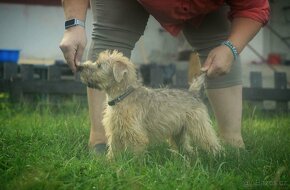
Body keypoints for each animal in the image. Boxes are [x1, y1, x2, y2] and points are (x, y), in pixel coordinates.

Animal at [78, 49, 221, 158]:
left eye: (99, 65)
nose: (80, 66)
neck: (123, 97)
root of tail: (193, 92)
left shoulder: (137, 136)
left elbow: (136, 155)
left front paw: (133, 167)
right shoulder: (115, 133)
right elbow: (113, 151)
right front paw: (111, 164)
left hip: (199, 127)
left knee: (212, 142)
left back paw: (218, 158)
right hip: (178, 132)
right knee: (186, 148)